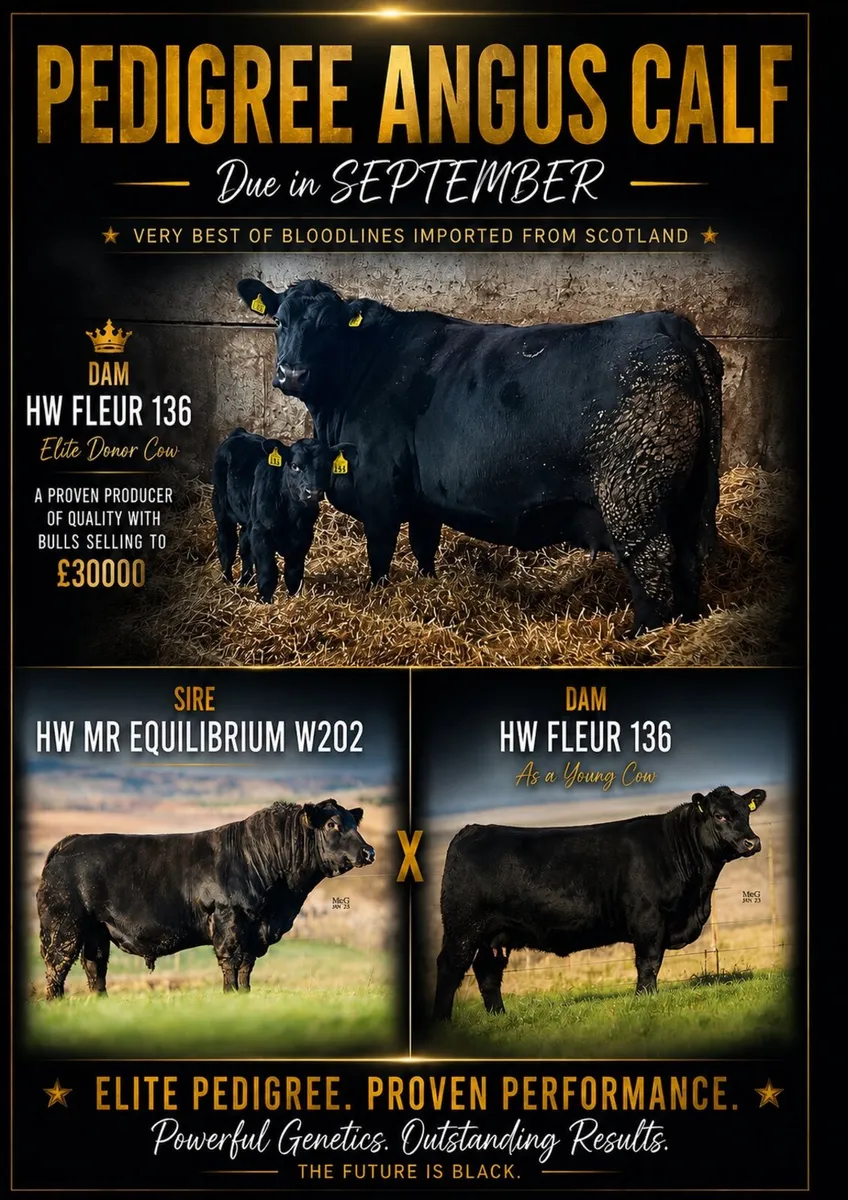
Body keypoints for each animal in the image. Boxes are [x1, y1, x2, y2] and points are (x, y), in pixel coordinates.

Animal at [36, 799, 375, 999]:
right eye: (331, 824)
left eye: (353, 823)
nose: (368, 851)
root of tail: (71, 842)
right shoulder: (229, 919)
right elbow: (230, 961)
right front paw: (229, 994)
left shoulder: (255, 930)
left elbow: (246, 966)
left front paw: (244, 996)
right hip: (64, 926)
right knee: (57, 965)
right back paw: (56, 1002)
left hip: (96, 931)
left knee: (95, 967)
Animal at [212, 427, 355, 602]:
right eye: (295, 466)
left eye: (327, 466)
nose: (313, 492)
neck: (292, 515)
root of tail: (240, 432)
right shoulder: (261, 534)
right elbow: (268, 572)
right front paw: (265, 601)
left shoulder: (303, 536)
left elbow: (294, 573)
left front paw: (294, 597)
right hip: (221, 508)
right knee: (227, 545)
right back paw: (227, 582)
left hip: (248, 518)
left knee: (244, 543)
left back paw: (246, 580)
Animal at [237, 277, 723, 633]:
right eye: (279, 320)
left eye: (329, 326)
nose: (291, 373)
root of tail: (669, 324)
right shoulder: (422, 500)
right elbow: (424, 549)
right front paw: (427, 586)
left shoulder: (379, 494)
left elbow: (380, 559)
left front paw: (379, 599)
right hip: (687, 501)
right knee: (688, 564)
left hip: (635, 501)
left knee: (653, 572)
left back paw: (637, 636)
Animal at [433, 786, 766, 1020]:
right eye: (720, 815)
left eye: (746, 813)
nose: (752, 842)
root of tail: (472, 829)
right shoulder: (648, 919)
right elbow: (649, 963)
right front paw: (645, 999)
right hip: (463, 927)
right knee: (450, 966)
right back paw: (443, 1020)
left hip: (495, 935)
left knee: (487, 971)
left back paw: (499, 1016)